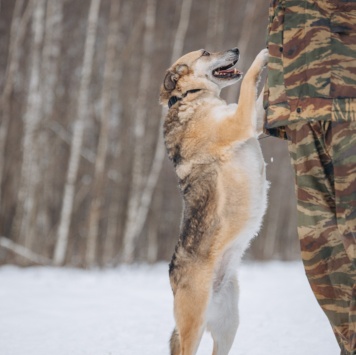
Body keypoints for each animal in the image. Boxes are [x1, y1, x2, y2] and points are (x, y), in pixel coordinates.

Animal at [160, 48, 268, 355]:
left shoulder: (250, 120)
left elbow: (257, 96)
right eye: (206, 52)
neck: (190, 96)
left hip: (229, 326)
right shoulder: (239, 123)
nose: (236, 50)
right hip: (194, 327)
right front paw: (263, 56)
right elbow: (249, 83)